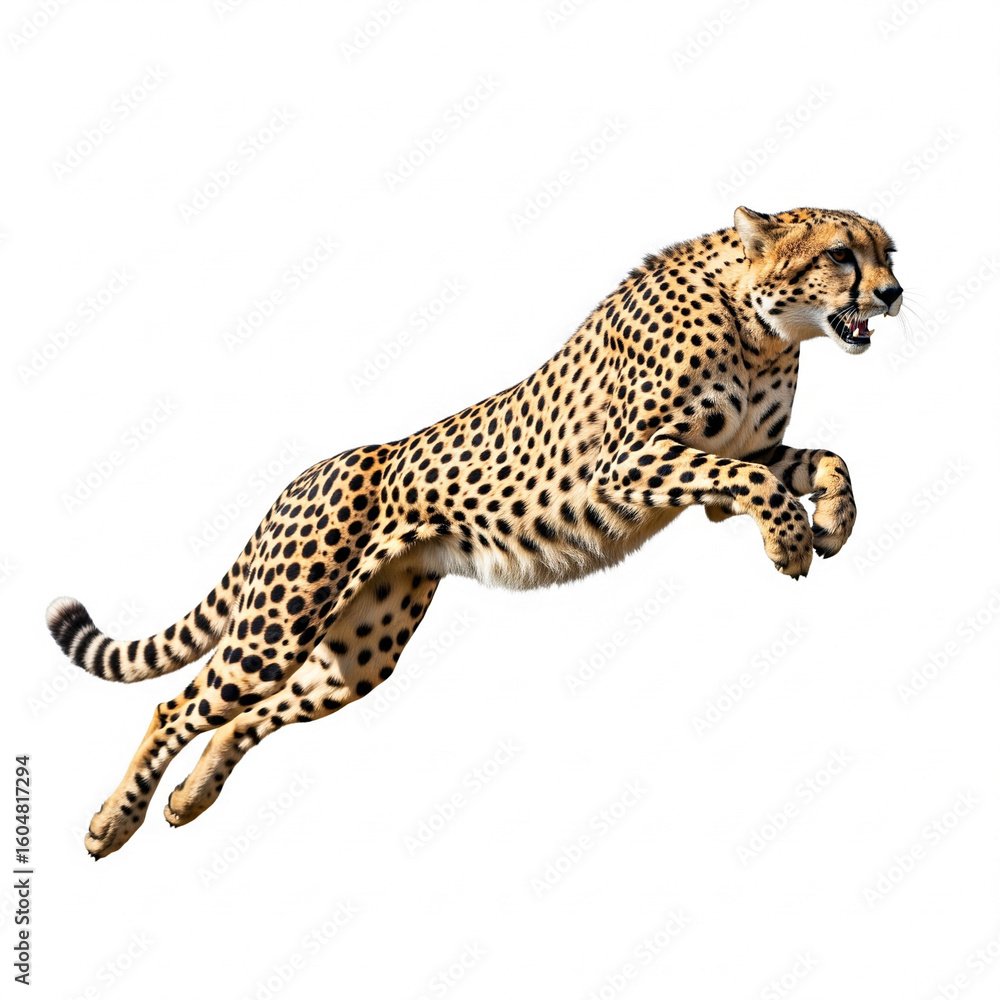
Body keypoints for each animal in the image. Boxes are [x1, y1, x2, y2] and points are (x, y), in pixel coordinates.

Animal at [46, 205, 902, 858]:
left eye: (887, 252)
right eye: (840, 254)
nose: (895, 292)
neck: (764, 327)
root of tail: (309, 472)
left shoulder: (739, 451)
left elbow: (825, 461)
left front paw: (833, 523)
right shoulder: (631, 460)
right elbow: (760, 485)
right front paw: (790, 542)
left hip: (356, 654)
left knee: (250, 715)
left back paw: (188, 800)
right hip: (279, 626)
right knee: (179, 706)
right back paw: (111, 824)